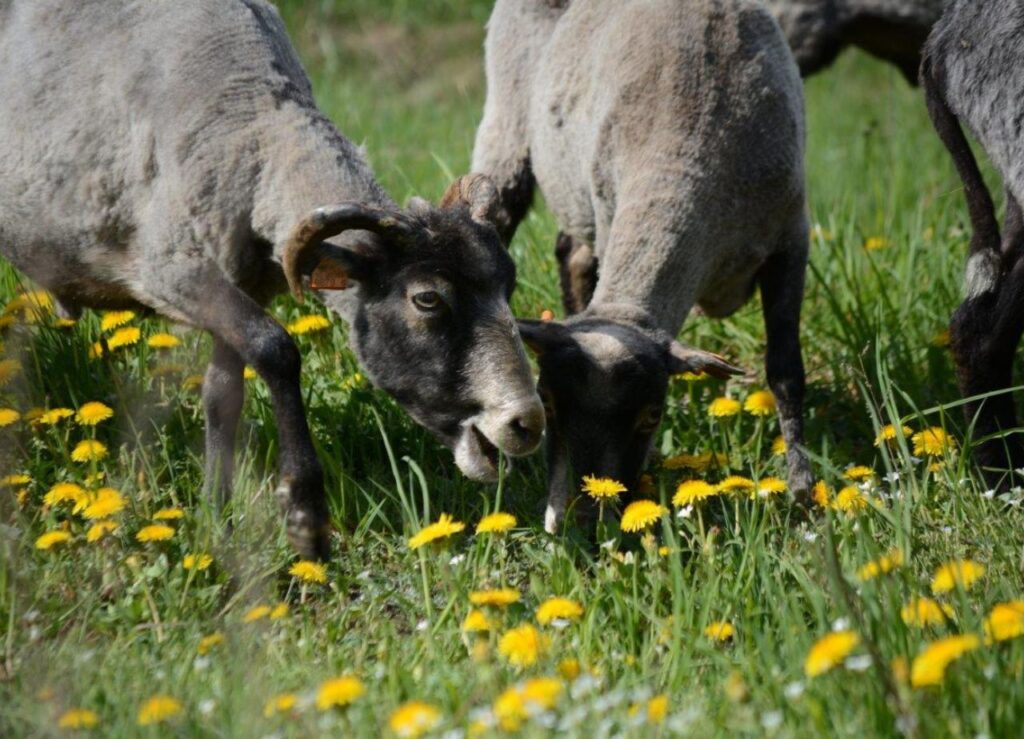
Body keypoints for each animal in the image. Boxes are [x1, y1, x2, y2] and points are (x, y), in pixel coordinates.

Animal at [0, 0, 544, 552]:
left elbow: (222, 393)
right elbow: (275, 348)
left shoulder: (242, 281)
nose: (528, 423)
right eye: (427, 299)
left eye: (508, 285)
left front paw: (214, 518)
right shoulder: (168, 271)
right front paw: (306, 515)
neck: (249, 125)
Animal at [471, 0, 815, 528]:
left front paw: (802, 490)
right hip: (508, 128)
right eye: (546, 402)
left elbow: (785, 370)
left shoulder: (791, 239)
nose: (582, 523)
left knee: (572, 254)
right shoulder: (611, 207)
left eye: (652, 415)